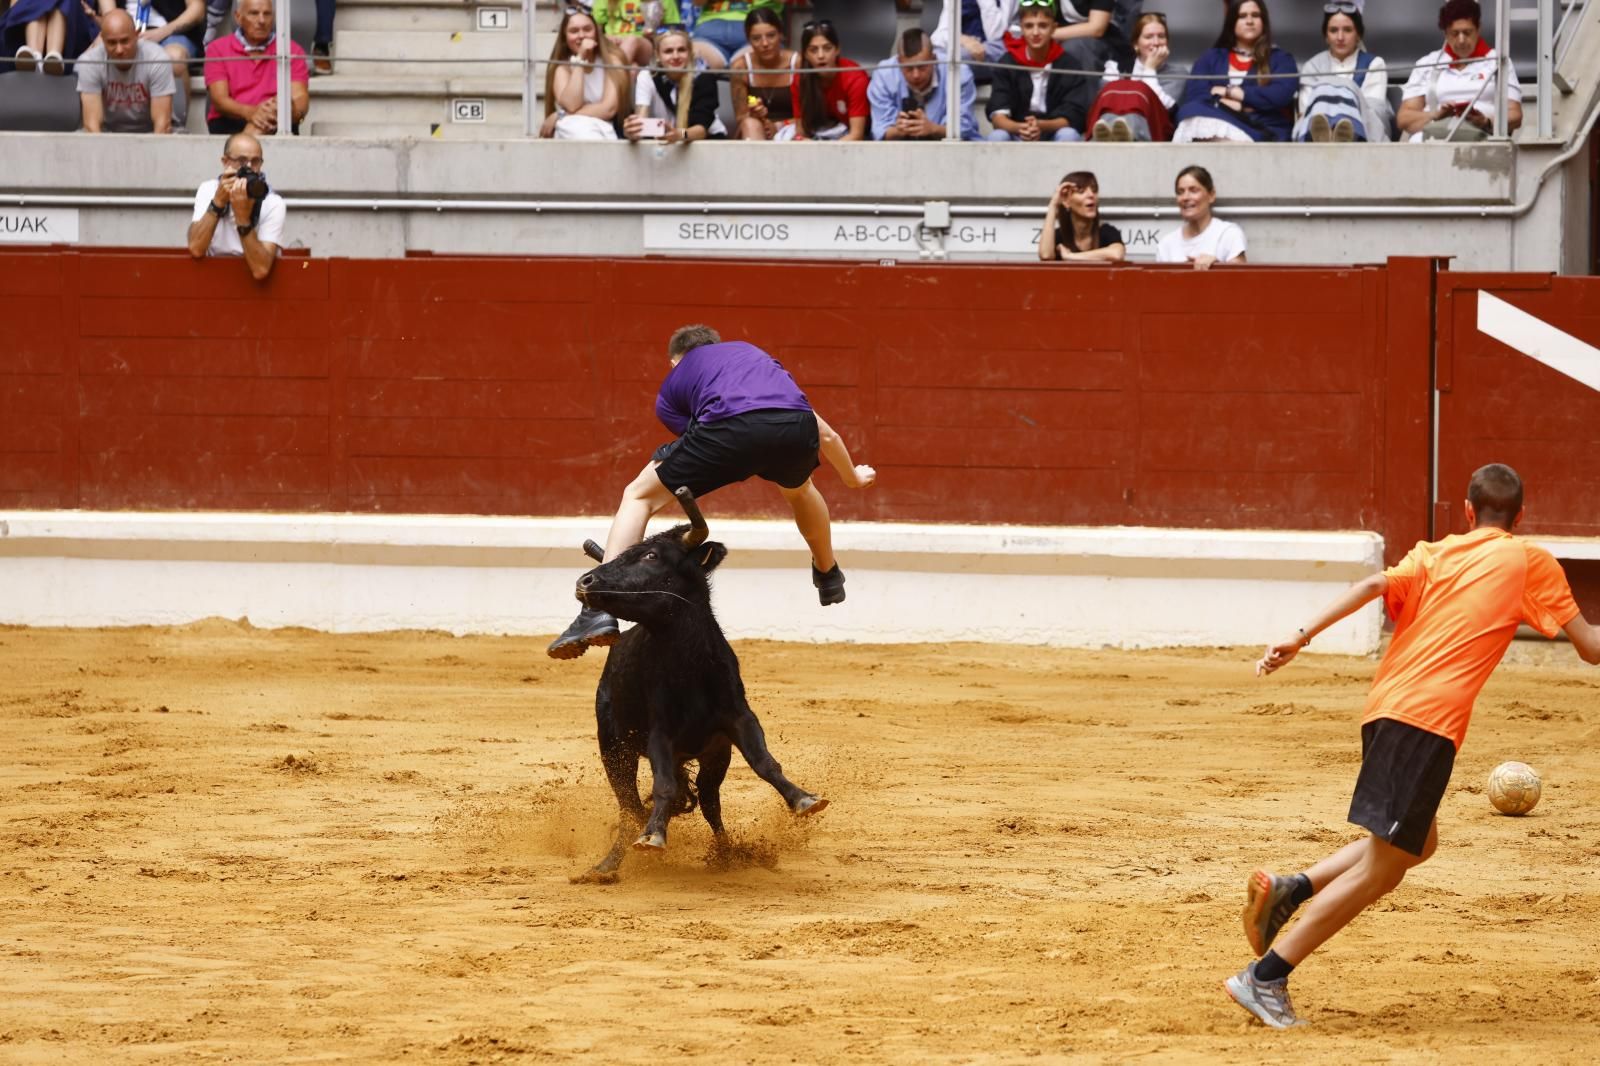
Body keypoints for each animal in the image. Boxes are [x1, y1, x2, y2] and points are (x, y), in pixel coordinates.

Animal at [572, 489, 825, 877]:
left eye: (650, 555)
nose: (585, 582)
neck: (690, 665)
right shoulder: (659, 733)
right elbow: (663, 786)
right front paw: (653, 837)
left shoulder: (738, 720)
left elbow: (765, 763)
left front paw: (804, 800)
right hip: (613, 748)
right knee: (629, 804)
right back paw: (608, 865)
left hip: (714, 757)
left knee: (708, 801)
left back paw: (725, 854)